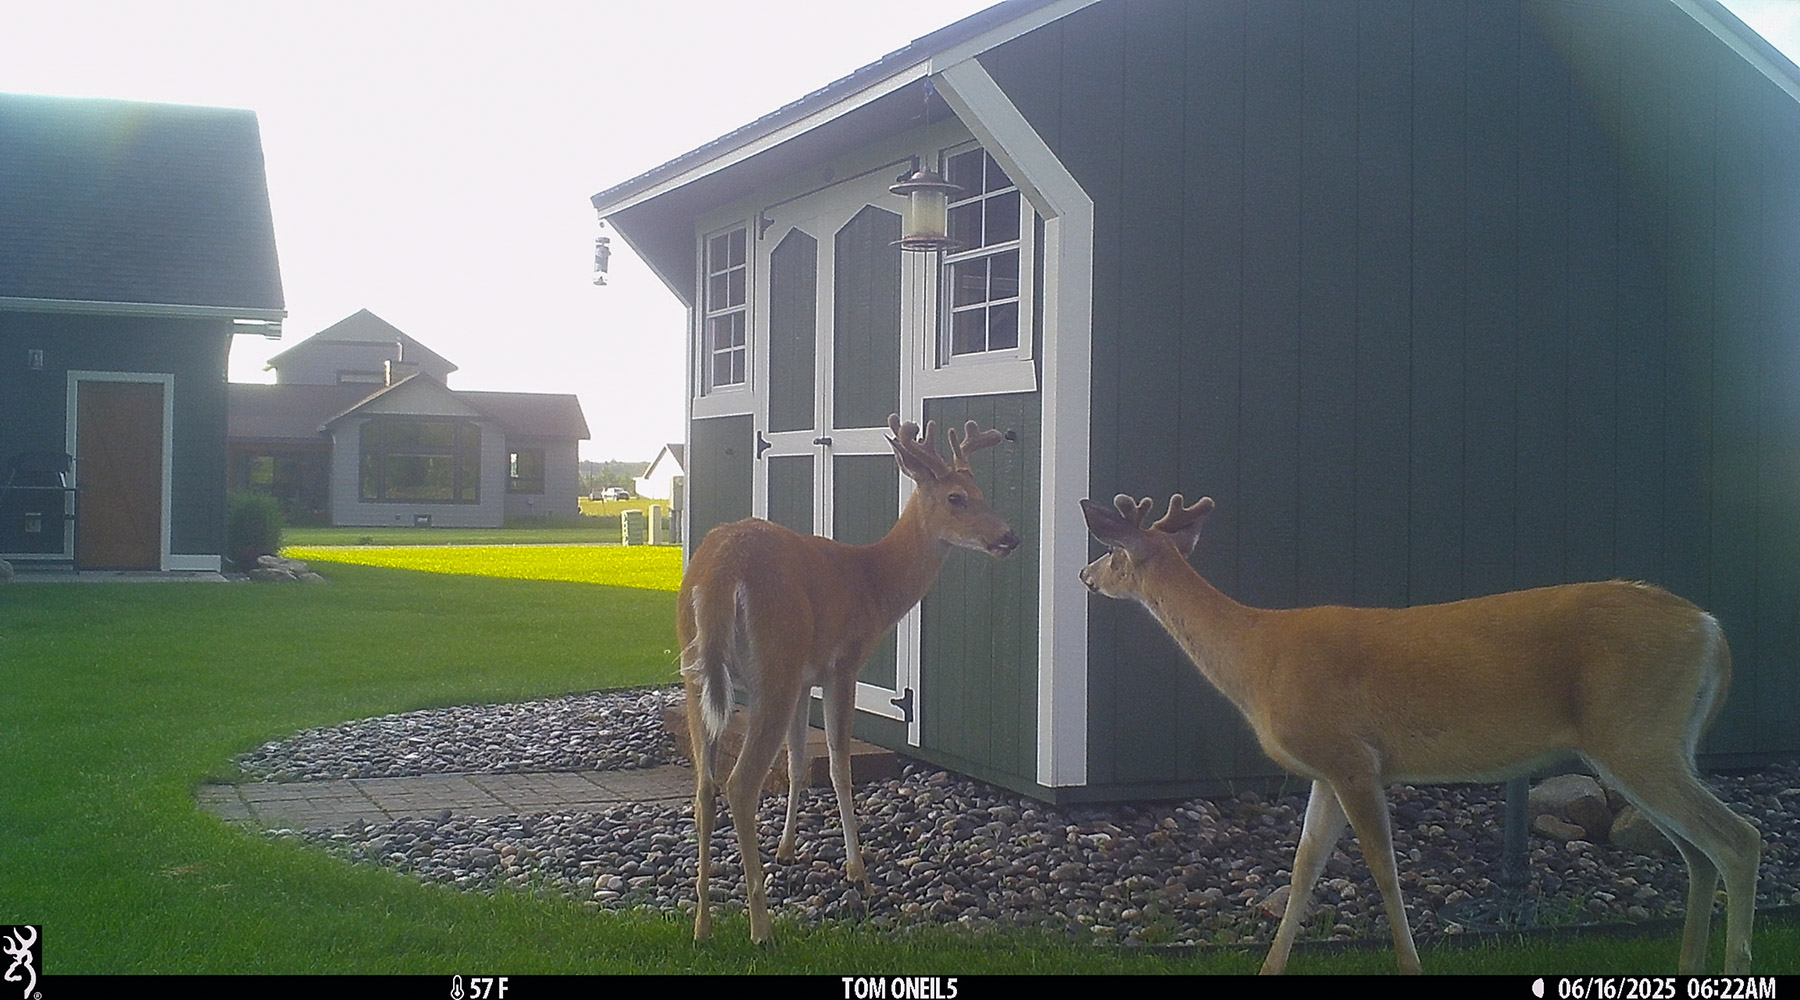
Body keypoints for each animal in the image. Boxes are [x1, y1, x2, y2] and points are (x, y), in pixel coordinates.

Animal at [678, 413, 1019, 944]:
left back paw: (702, 926)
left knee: (704, 789)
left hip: (699, 671)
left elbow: (799, 763)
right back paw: (761, 929)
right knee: (739, 784)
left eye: (981, 492)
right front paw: (858, 872)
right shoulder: (843, 663)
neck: (872, 582)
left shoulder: (805, 676)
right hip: (772, 661)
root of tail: (719, 573)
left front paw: (788, 850)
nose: (1009, 537)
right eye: (956, 498)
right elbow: (840, 768)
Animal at [1080, 493, 1760, 975]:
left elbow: (1383, 868)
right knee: (1698, 853)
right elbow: (1303, 867)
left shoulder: (1353, 757)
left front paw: (1411, 965)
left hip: (1636, 733)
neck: (1258, 660)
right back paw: (1687, 965)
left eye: (1112, 554)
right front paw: (1269, 968)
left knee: (1738, 838)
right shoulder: (1327, 768)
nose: (1086, 574)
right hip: (1655, 743)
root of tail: (1713, 630)